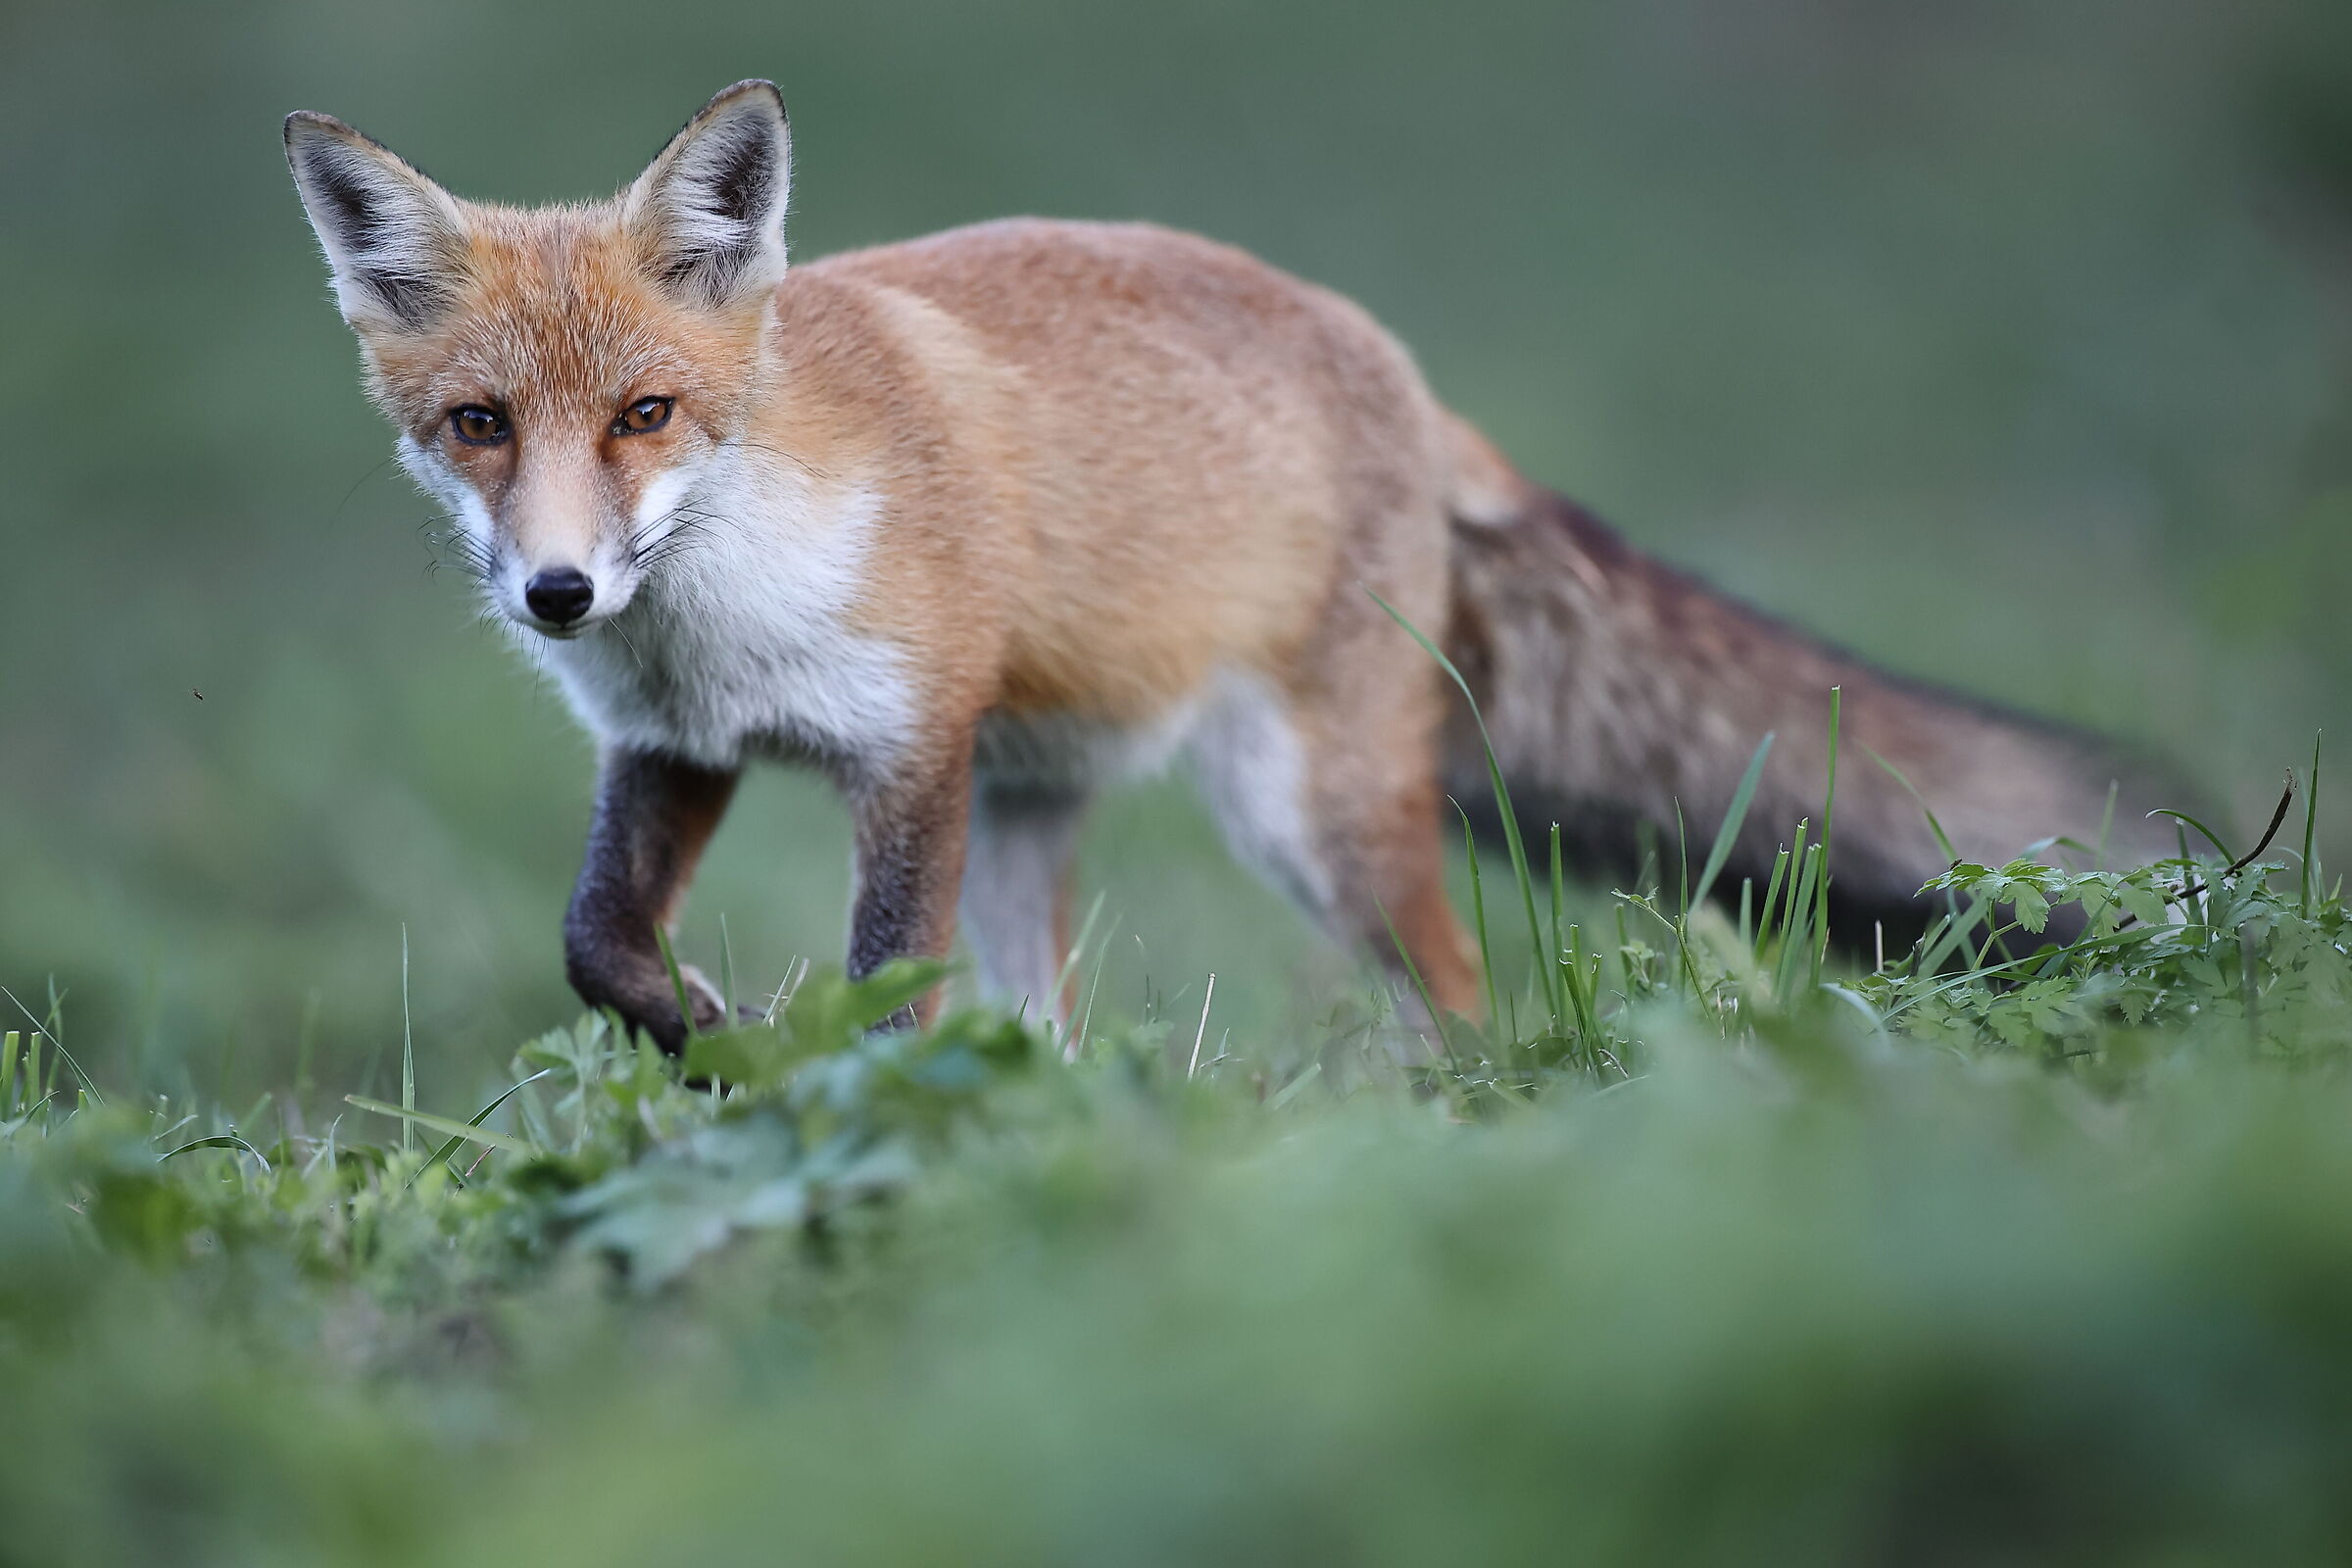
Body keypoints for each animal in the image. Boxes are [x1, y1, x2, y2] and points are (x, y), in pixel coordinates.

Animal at [285, 79, 2180, 1048]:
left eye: (646, 414)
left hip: (1305, 816)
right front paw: (711, 1043)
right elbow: (595, 946)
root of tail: (1406, 376)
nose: (558, 594)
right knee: (1044, 1022)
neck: (712, 615)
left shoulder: (911, 749)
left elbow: (886, 988)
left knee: (1460, 999)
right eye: (477, 426)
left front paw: (837, 1119)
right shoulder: (676, 749)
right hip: (1039, 808)